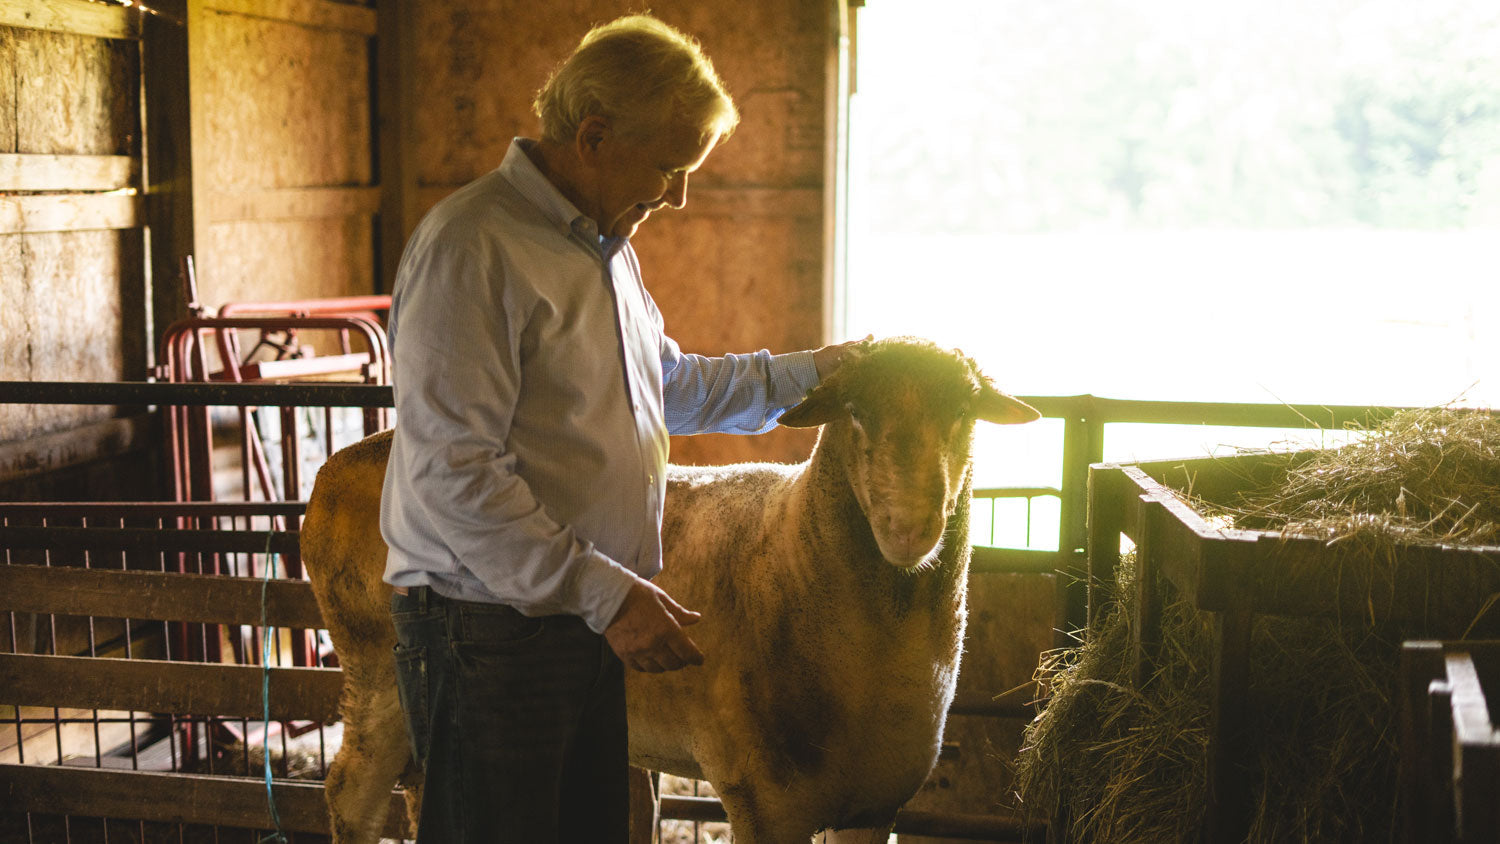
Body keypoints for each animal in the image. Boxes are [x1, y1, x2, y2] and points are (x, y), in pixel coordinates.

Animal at [299, 336, 1039, 843]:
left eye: (964, 412)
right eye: (855, 410)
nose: (911, 527)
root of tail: (339, 466)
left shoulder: (873, 806)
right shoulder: (763, 800)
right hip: (376, 668)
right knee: (352, 794)